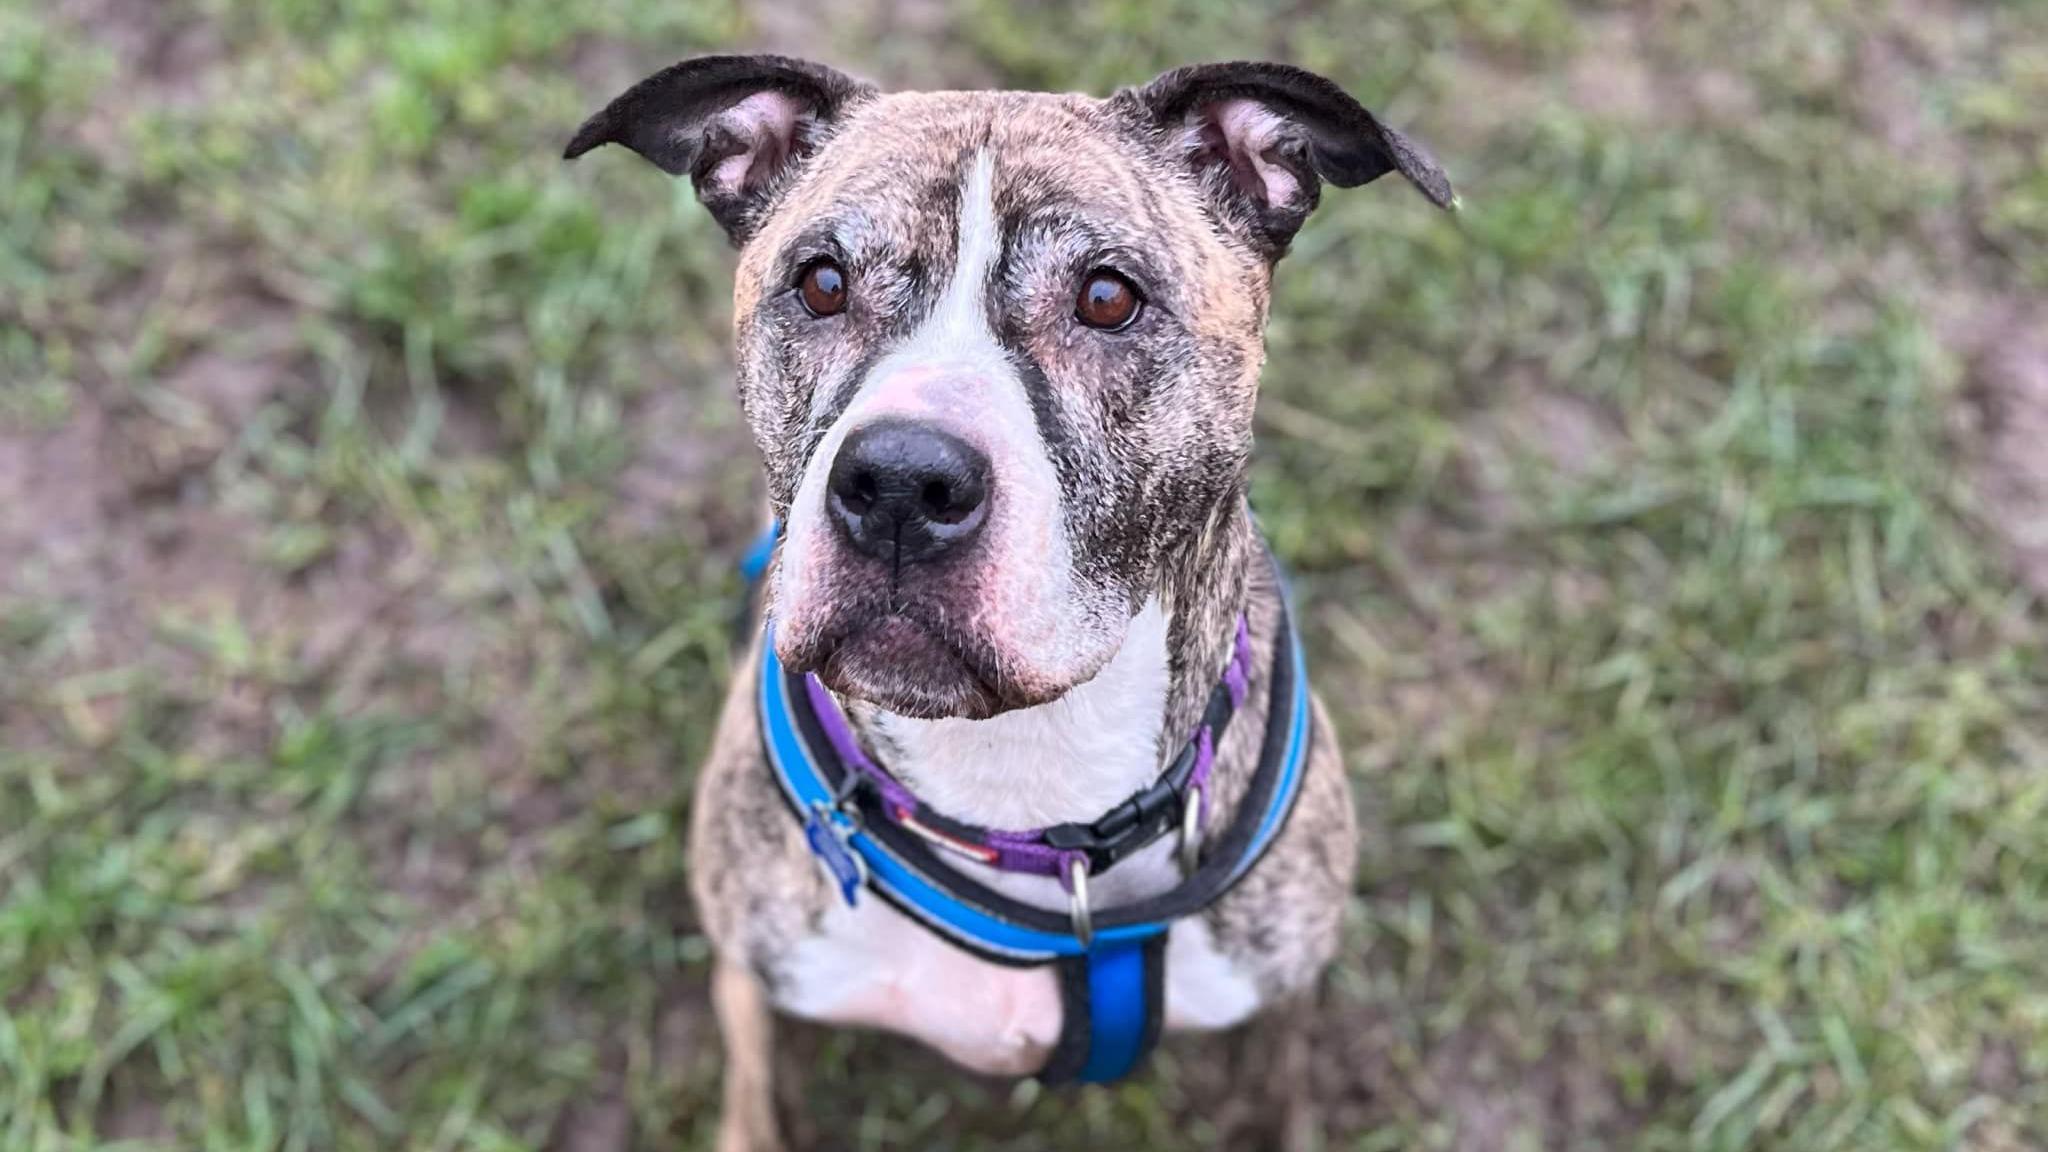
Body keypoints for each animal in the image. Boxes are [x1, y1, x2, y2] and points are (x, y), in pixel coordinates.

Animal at [565, 58, 1458, 1139]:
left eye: (1106, 298)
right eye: (821, 283)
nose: (900, 483)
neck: (1023, 779)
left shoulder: (1279, 1005)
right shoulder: (753, 982)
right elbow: (755, 1109)